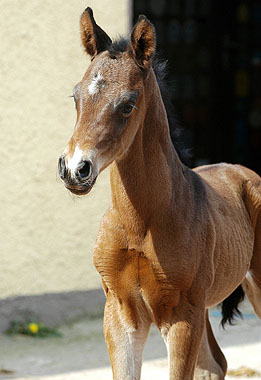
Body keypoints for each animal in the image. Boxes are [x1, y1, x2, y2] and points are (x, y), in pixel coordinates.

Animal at [58, 7, 260, 378]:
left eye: (128, 104)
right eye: (76, 96)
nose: (74, 168)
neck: (141, 222)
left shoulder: (182, 316)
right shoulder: (120, 312)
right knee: (215, 364)